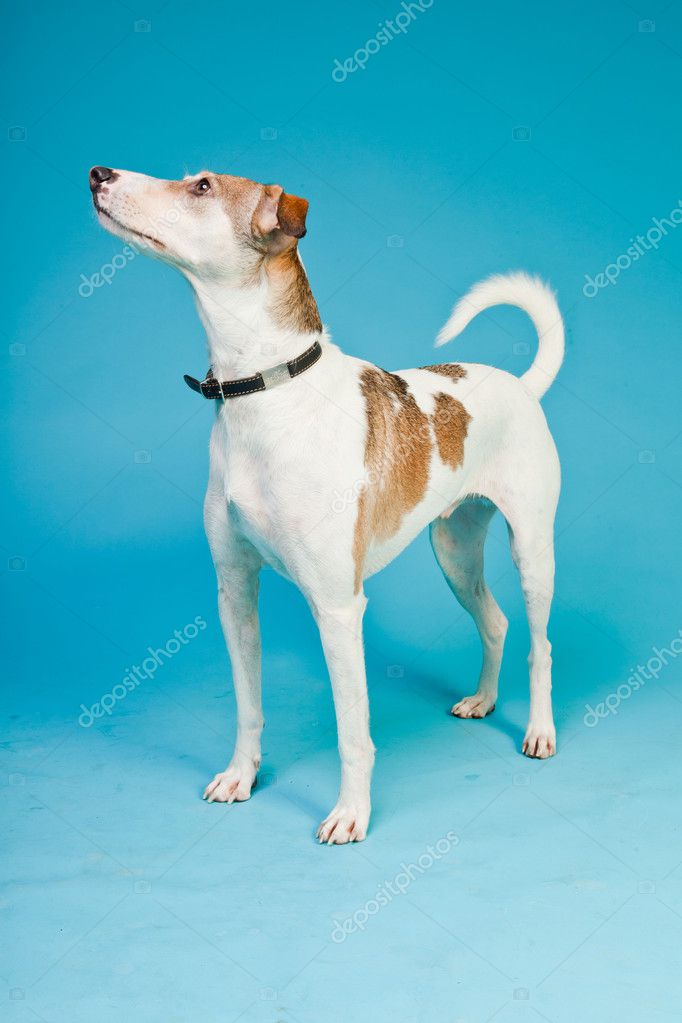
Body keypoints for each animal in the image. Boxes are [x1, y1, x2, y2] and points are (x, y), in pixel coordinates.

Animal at [87, 163, 564, 842]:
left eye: (202, 186)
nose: (99, 173)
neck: (264, 391)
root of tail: (521, 385)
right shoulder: (235, 593)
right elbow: (248, 706)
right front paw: (242, 776)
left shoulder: (339, 609)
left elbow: (352, 731)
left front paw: (350, 813)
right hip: (454, 551)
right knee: (495, 621)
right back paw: (483, 699)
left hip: (532, 552)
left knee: (539, 643)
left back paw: (539, 731)